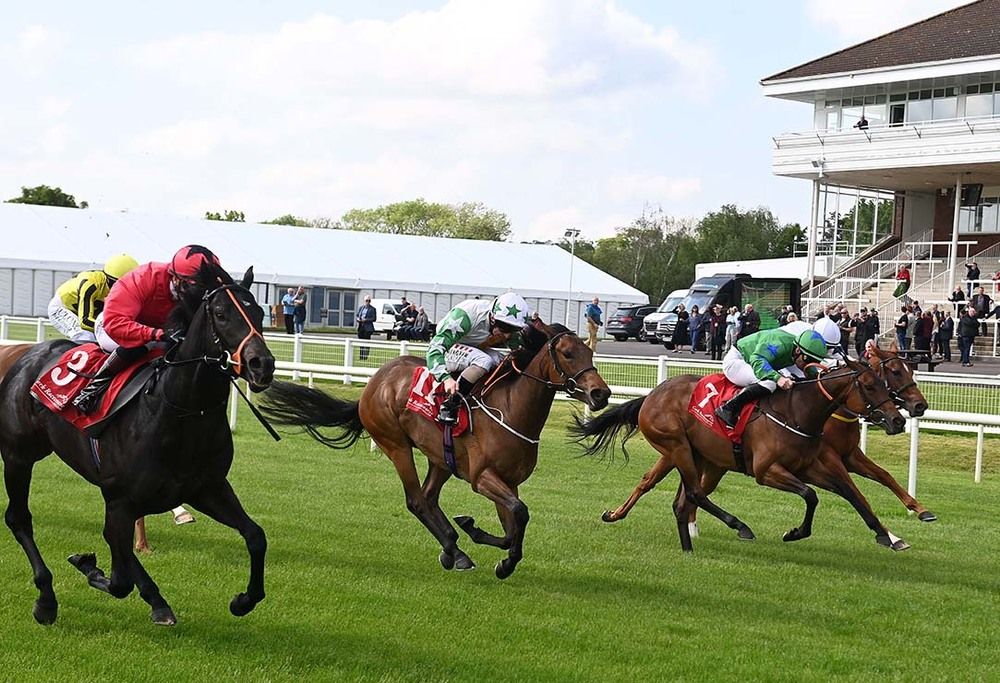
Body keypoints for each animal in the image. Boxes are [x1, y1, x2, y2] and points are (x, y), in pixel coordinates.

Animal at [0, 264, 274, 628]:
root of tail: (25, 354)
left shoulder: (208, 488)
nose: (262, 364)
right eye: (220, 314)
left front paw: (243, 600)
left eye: (258, 312)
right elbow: (119, 579)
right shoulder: (119, 499)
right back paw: (46, 599)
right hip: (18, 455)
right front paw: (89, 566)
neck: (180, 411)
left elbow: (256, 536)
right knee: (18, 518)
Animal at [260, 324, 608, 580]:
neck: (510, 408)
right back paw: (455, 549)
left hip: (441, 457)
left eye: (591, 352)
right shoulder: (482, 478)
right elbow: (520, 513)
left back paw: (453, 548)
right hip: (395, 444)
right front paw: (497, 555)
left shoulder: (509, 481)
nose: (600, 394)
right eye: (567, 353)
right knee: (416, 500)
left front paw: (487, 544)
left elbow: (513, 525)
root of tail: (374, 382)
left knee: (428, 497)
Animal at [600, 348, 936, 552]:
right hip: (677, 447)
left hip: (703, 457)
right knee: (688, 491)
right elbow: (816, 495)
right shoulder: (771, 470)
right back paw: (737, 527)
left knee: (676, 492)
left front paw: (895, 529)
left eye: (903, 373)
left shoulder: (822, 463)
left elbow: (861, 489)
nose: (905, 415)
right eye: (873, 382)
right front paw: (795, 532)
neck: (800, 411)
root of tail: (651, 395)